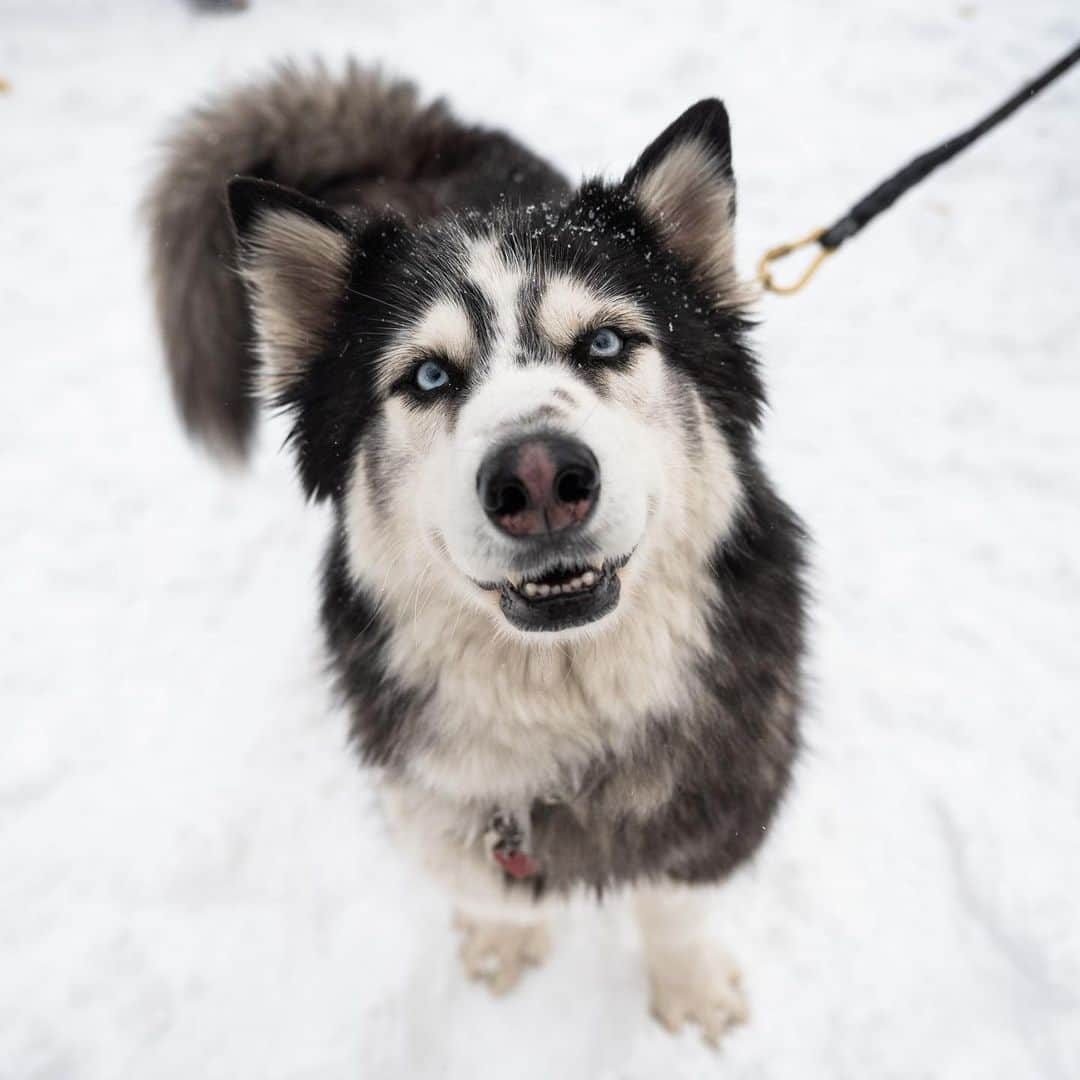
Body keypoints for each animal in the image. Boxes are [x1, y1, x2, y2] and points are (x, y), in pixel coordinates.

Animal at [145, 61, 803, 1045]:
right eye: (426, 376)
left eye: (606, 341)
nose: (538, 479)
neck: (564, 718)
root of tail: (427, 139)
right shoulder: (426, 793)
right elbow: (485, 891)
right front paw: (504, 942)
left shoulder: (727, 788)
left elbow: (675, 901)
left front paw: (687, 990)